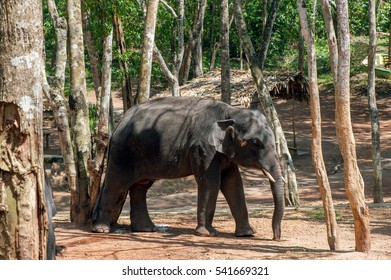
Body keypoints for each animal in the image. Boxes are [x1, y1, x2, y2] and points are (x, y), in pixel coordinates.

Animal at [92, 97, 284, 241]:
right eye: (255, 142)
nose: (275, 237)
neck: (230, 112)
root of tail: (118, 123)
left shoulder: (224, 152)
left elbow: (233, 183)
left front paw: (247, 234)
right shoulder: (203, 148)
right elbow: (211, 182)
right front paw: (206, 234)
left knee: (141, 186)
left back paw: (145, 229)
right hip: (122, 152)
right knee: (115, 184)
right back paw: (102, 229)